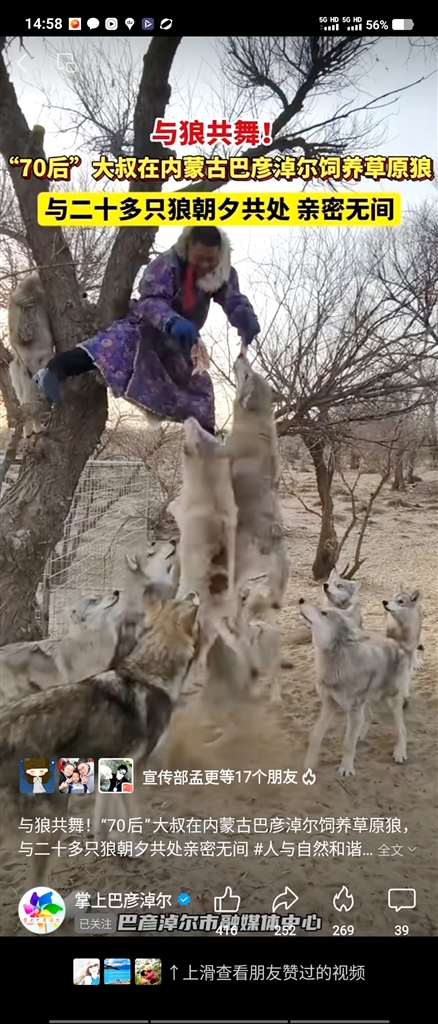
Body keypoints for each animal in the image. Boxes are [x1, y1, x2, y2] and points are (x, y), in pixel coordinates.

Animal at [8, 271, 54, 437]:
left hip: (19, 384)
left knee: (26, 407)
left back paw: (28, 431)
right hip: (34, 382)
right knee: (33, 408)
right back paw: (38, 429)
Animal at [300, 600, 410, 777]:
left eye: (324, 613)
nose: (301, 600)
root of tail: (396, 644)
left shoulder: (353, 709)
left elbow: (348, 743)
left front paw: (346, 768)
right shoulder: (329, 705)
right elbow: (316, 735)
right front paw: (309, 764)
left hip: (390, 702)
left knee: (402, 729)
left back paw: (400, 752)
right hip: (367, 701)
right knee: (368, 717)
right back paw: (360, 733)